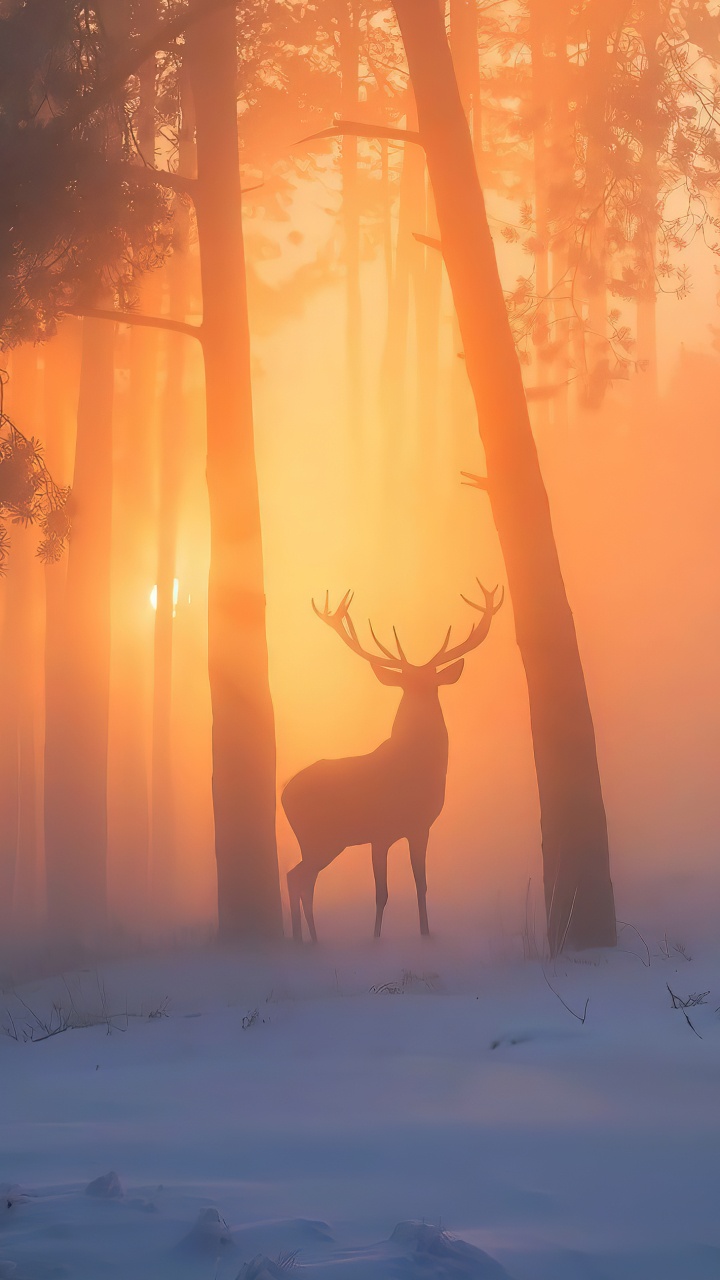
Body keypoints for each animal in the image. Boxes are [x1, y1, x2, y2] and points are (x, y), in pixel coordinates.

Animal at [281, 582, 504, 943]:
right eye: (407, 685)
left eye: (431, 684)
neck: (412, 773)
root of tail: (283, 793)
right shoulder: (380, 831)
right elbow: (381, 892)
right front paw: (375, 940)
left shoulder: (421, 827)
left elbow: (421, 885)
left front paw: (426, 934)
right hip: (320, 838)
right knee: (297, 877)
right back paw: (305, 940)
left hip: (323, 842)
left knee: (301, 878)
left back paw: (309, 939)